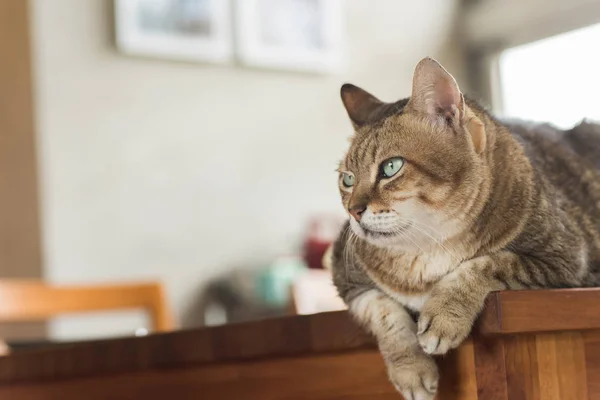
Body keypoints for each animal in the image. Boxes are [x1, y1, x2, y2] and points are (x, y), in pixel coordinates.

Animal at [328, 57, 600, 400]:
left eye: (391, 167)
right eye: (347, 179)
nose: (353, 211)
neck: (427, 246)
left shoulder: (565, 259)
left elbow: (487, 263)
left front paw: (444, 316)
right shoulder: (345, 275)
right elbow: (383, 311)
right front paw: (411, 370)